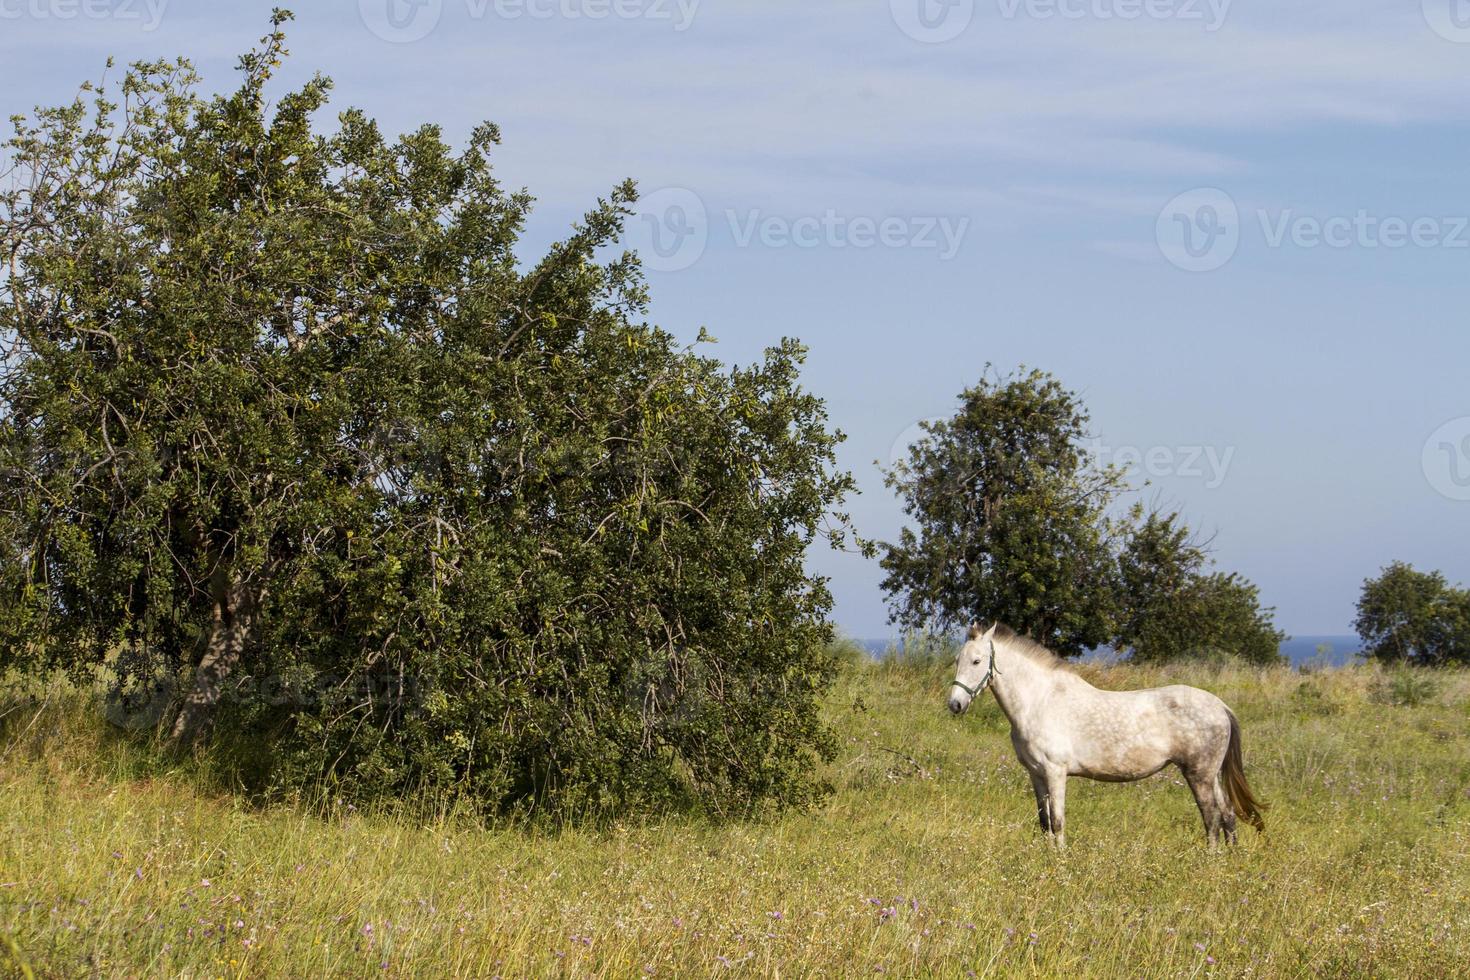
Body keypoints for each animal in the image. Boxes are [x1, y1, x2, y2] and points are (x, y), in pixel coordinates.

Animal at [952, 625, 1264, 846]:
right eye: (958, 660)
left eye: (977, 661)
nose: (955, 704)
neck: (1040, 701)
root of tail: (1220, 706)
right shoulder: (1036, 773)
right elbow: (1044, 822)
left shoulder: (1055, 772)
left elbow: (1059, 821)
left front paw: (1061, 863)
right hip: (1211, 775)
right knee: (1228, 814)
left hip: (1198, 774)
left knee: (1212, 817)